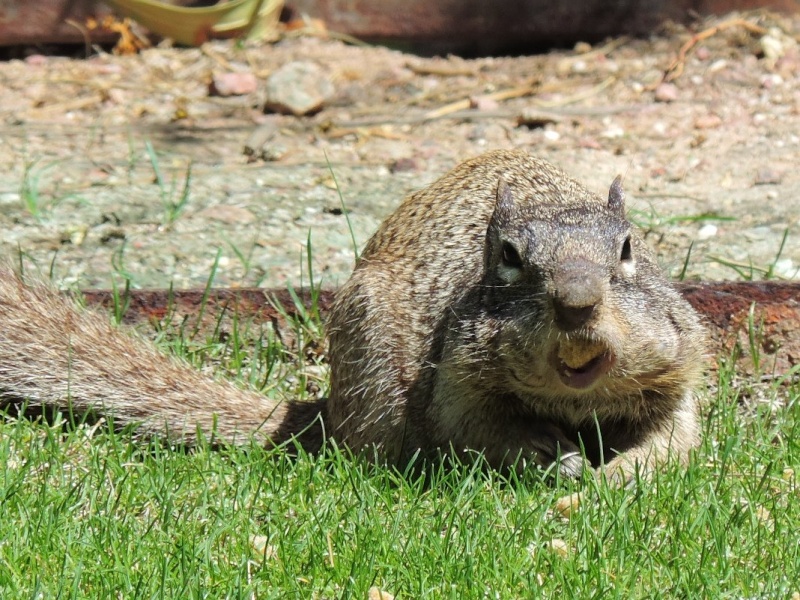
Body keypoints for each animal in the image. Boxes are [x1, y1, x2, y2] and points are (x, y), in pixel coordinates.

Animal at [0, 151, 708, 482]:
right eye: (508, 258)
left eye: (628, 249)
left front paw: (620, 475)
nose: (577, 303)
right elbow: (479, 433)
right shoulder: (455, 385)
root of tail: (330, 409)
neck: (571, 401)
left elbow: (673, 440)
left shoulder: (678, 375)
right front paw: (551, 458)